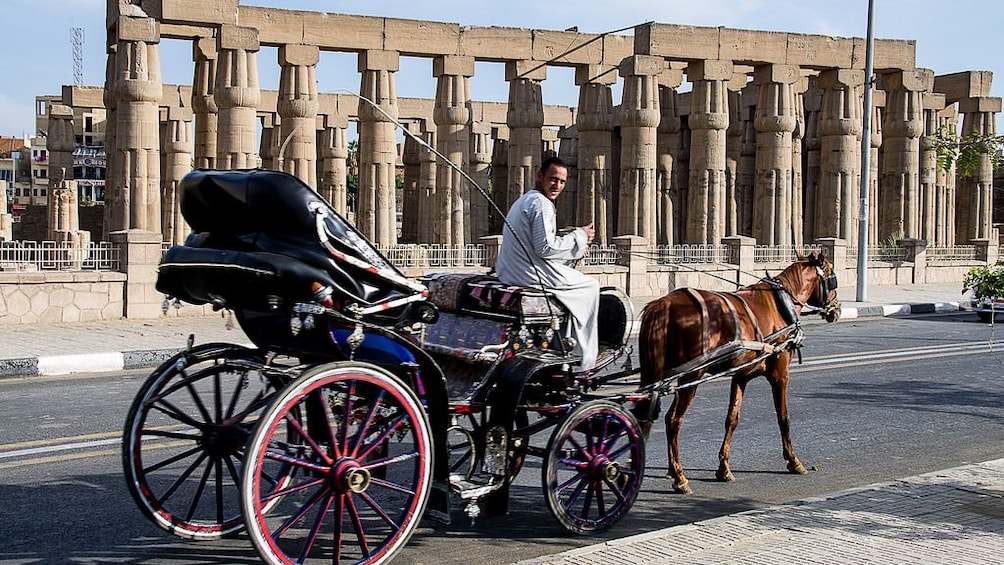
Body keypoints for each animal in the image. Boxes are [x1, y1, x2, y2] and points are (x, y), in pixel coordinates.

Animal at [638, 251, 843, 495]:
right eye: (832, 276)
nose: (836, 309)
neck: (781, 305)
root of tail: (664, 304)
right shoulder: (780, 372)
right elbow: (783, 417)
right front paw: (794, 461)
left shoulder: (741, 376)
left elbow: (732, 419)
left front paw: (724, 468)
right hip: (691, 376)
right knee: (673, 420)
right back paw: (679, 477)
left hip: (663, 375)